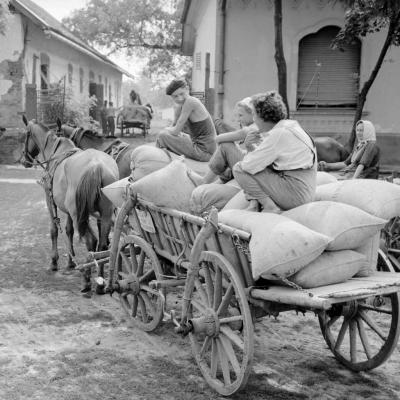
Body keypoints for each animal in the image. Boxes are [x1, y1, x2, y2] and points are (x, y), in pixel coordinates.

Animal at [21, 115, 119, 290]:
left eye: (26, 135)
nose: (24, 160)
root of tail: (96, 166)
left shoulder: (50, 200)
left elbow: (54, 230)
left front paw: (54, 262)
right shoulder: (68, 210)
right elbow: (69, 230)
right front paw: (70, 262)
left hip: (79, 213)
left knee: (91, 241)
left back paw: (87, 280)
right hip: (105, 214)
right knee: (101, 245)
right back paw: (100, 282)